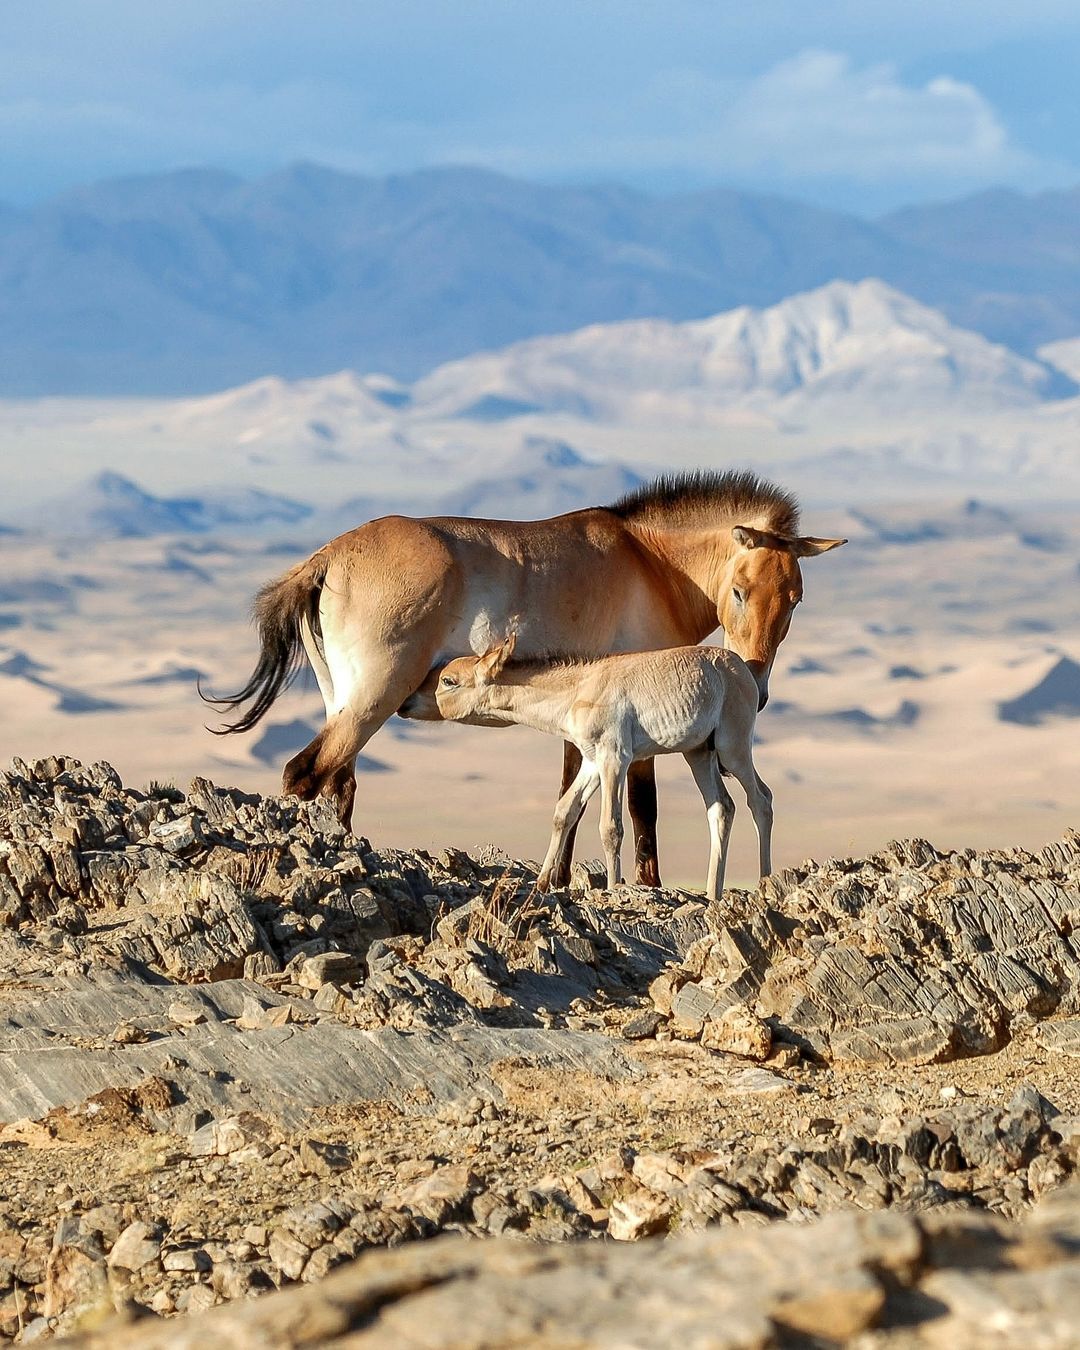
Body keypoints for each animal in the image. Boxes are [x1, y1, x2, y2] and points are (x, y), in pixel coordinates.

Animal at [434, 634, 772, 907]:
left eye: (448, 680)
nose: (432, 706)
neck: (577, 690)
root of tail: (741, 669)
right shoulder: (591, 762)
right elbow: (565, 811)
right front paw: (542, 883)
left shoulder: (614, 759)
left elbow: (611, 827)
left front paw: (612, 887)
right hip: (698, 754)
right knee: (721, 808)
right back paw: (713, 893)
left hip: (733, 749)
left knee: (761, 800)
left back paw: (764, 884)